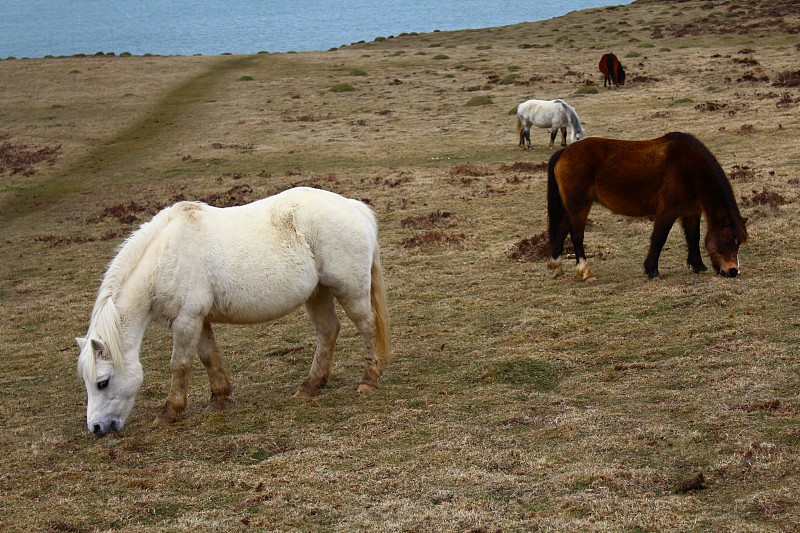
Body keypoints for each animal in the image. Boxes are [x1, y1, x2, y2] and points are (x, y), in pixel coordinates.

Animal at [76, 187, 390, 436]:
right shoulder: (198, 320)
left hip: (350, 290)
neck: (165, 258)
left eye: (102, 383)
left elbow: (180, 364)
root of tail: (355, 207)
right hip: (317, 293)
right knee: (328, 331)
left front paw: (169, 412)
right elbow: (208, 357)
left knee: (367, 326)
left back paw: (368, 380)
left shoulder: (186, 320)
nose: (96, 428)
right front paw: (219, 398)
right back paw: (311, 385)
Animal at [548, 133, 748, 280]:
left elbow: (693, 237)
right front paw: (652, 270)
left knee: (563, 228)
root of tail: (564, 152)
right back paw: (584, 270)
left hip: (572, 207)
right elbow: (659, 238)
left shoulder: (691, 212)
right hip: (580, 205)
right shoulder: (667, 212)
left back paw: (556, 266)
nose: (733, 271)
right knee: (576, 234)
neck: (688, 168)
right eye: (728, 241)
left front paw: (698, 265)